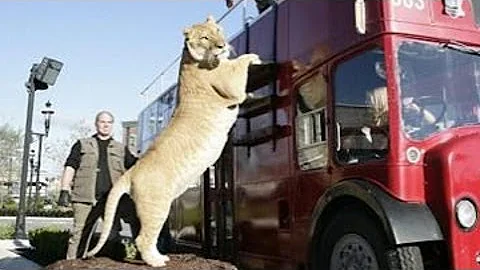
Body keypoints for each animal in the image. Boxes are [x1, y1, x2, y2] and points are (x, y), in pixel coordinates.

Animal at [84, 15, 260, 266]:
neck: (191, 58)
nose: (222, 45)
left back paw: (161, 256)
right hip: (157, 206)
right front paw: (252, 56)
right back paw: (157, 262)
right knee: (143, 238)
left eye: (218, 30)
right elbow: (239, 65)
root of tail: (131, 171)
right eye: (205, 37)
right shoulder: (229, 84)